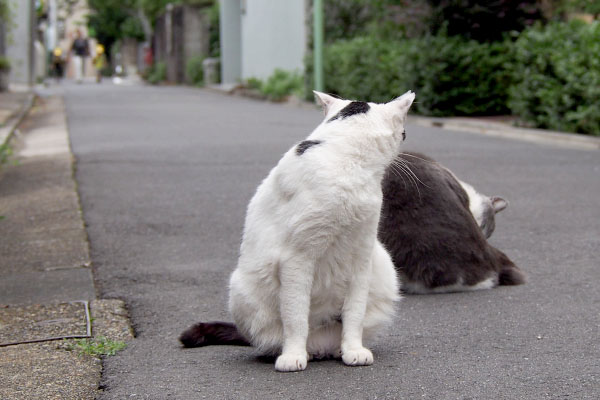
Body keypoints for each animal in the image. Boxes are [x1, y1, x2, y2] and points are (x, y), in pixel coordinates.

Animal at [179, 91, 412, 372]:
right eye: (404, 133)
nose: (405, 140)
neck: (344, 159)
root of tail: (320, 345)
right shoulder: (296, 259)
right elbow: (295, 314)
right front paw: (293, 356)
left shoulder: (362, 257)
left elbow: (354, 312)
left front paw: (353, 350)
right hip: (241, 288)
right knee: (277, 335)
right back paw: (298, 352)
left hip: (384, 268)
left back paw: (337, 350)